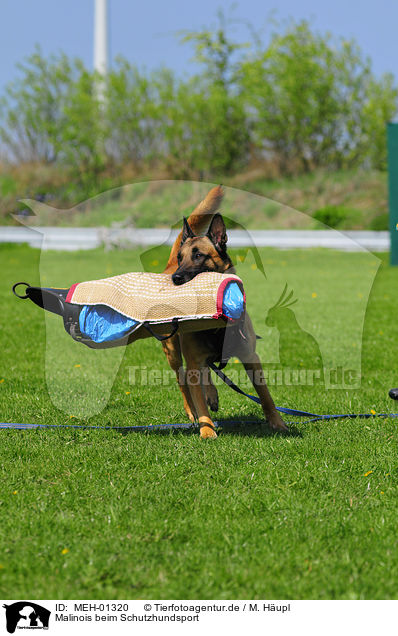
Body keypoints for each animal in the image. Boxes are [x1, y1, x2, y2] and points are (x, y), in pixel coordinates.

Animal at [161, 186, 286, 440]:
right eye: (181, 257)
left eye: (199, 255)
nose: (176, 279)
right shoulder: (192, 361)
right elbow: (199, 400)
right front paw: (207, 430)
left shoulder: (251, 358)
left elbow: (266, 396)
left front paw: (277, 423)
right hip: (174, 354)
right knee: (184, 383)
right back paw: (194, 411)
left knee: (206, 371)